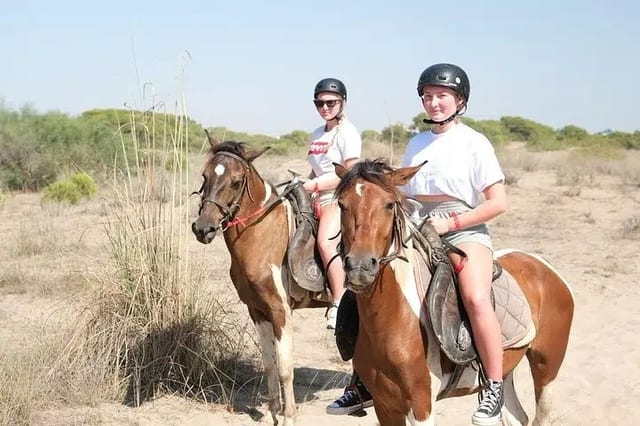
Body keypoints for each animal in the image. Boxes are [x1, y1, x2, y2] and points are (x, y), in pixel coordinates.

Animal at [191, 135, 331, 426]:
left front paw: (289, 417)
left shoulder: (280, 311)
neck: (263, 235)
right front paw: (271, 413)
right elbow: (269, 363)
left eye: (235, 181)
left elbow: (285, 367)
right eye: (205, 176)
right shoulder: (257, 310)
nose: (203, 228)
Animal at [333, 159, 574, 426]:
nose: (359, 267)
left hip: (546, 366)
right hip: (507, 367)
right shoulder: (384, 404)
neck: (395, 318)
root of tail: (541, 263)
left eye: (389, 205)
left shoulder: (421, 404)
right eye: (342, 204)